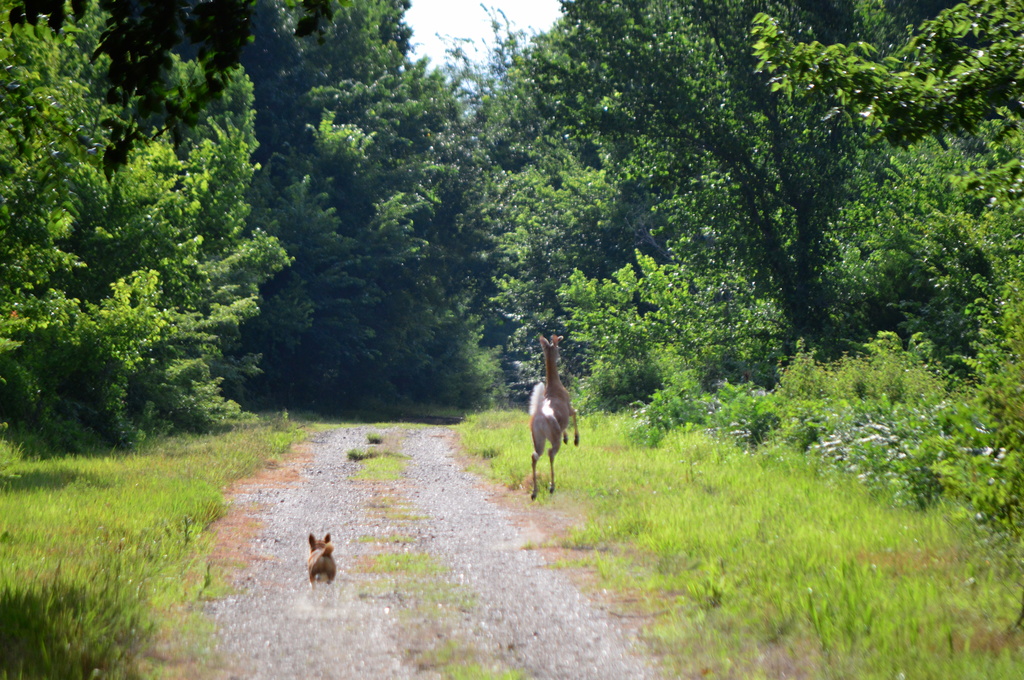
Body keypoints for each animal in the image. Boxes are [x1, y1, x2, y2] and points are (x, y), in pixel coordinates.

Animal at [528, 333, 577, 499]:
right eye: (558, 348)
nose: (559, 356)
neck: (554, 386)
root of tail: (539, 418)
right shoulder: (568, 406)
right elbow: (575, 413)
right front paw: (575, 440)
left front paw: (568, 437)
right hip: (553, 436)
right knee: (550, 453)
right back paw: (551, 486)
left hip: (537, 437)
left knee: (535, 455)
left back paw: (535, 492)